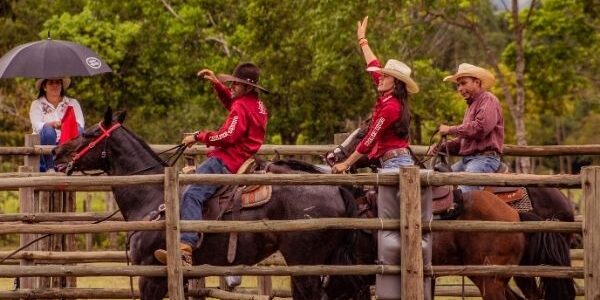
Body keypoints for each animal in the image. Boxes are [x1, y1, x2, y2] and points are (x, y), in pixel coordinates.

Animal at [52, 108, 370, 300]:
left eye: (90, 133)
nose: (57, 152)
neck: (153, 198)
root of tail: (336, 188)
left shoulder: (150, 275)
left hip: (305, 265)